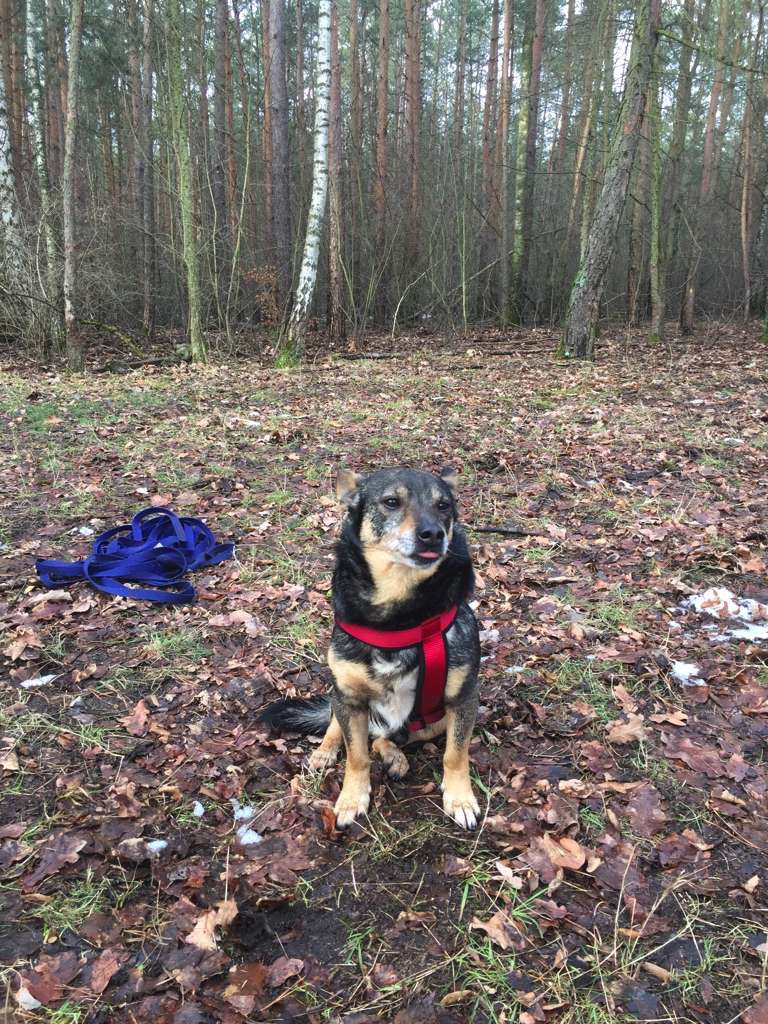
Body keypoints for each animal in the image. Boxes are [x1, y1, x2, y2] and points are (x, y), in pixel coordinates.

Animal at [261, 466, 481, 830]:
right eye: (391, 502)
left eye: (444, 506)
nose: (433, 535)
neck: (399, 618)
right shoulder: (349, 695)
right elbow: (357, 756)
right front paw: (352, 798)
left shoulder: (463, 699)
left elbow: (455, 754)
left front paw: (460, 798)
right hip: (344, 699)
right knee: (340, 727)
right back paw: (326, 750)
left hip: (431, 723)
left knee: (383, 738)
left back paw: (395, 757)